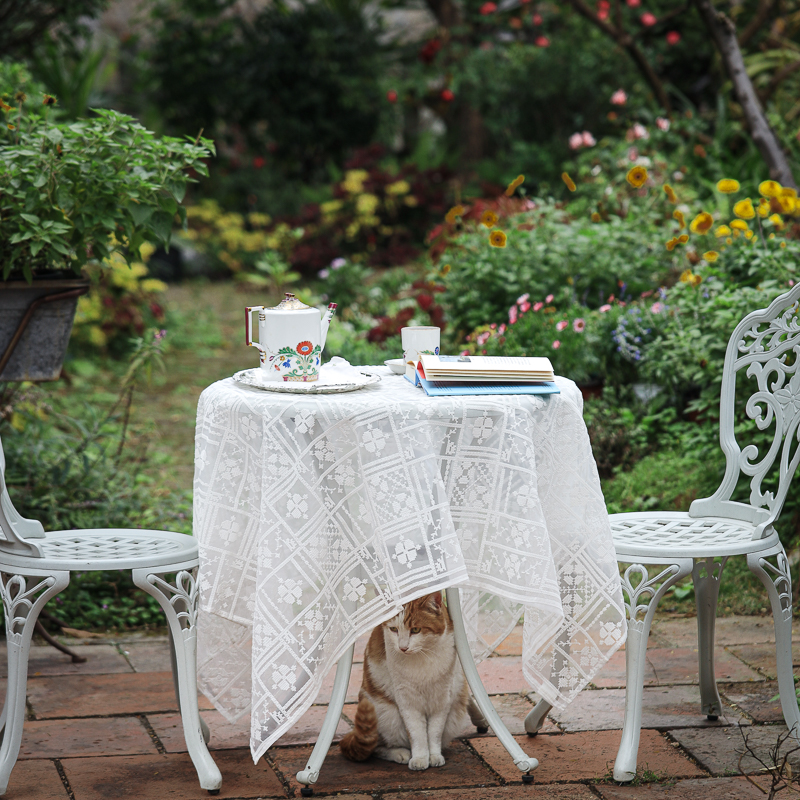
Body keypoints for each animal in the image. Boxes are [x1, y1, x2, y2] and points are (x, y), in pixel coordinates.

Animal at [338, 592, 488, 768]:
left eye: (415, 630)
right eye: (394, 629)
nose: (402, 647)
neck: (423, 658)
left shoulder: (442, 699)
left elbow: (434, 733)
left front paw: (434, 756)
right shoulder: (407, 701)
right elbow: (417, 733)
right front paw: (420, 758)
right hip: (385, 715)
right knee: (376, 747)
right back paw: (400, 753)